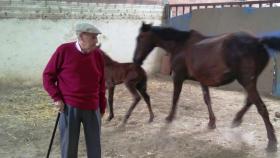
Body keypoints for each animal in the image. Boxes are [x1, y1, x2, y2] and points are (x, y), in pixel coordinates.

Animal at [133, 22, 280, 152]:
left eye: (140, 38)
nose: (136, 60)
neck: (181, 45)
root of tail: (258, 41)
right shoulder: (202, 80)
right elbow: (207, 99)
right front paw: (212, 122)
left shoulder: (178, 77)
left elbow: (175, 97)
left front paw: (170, 117)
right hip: (250, 81)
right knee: (250, 101)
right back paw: (237, 120)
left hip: (246, 81)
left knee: (261, 107)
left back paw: (271, 142)